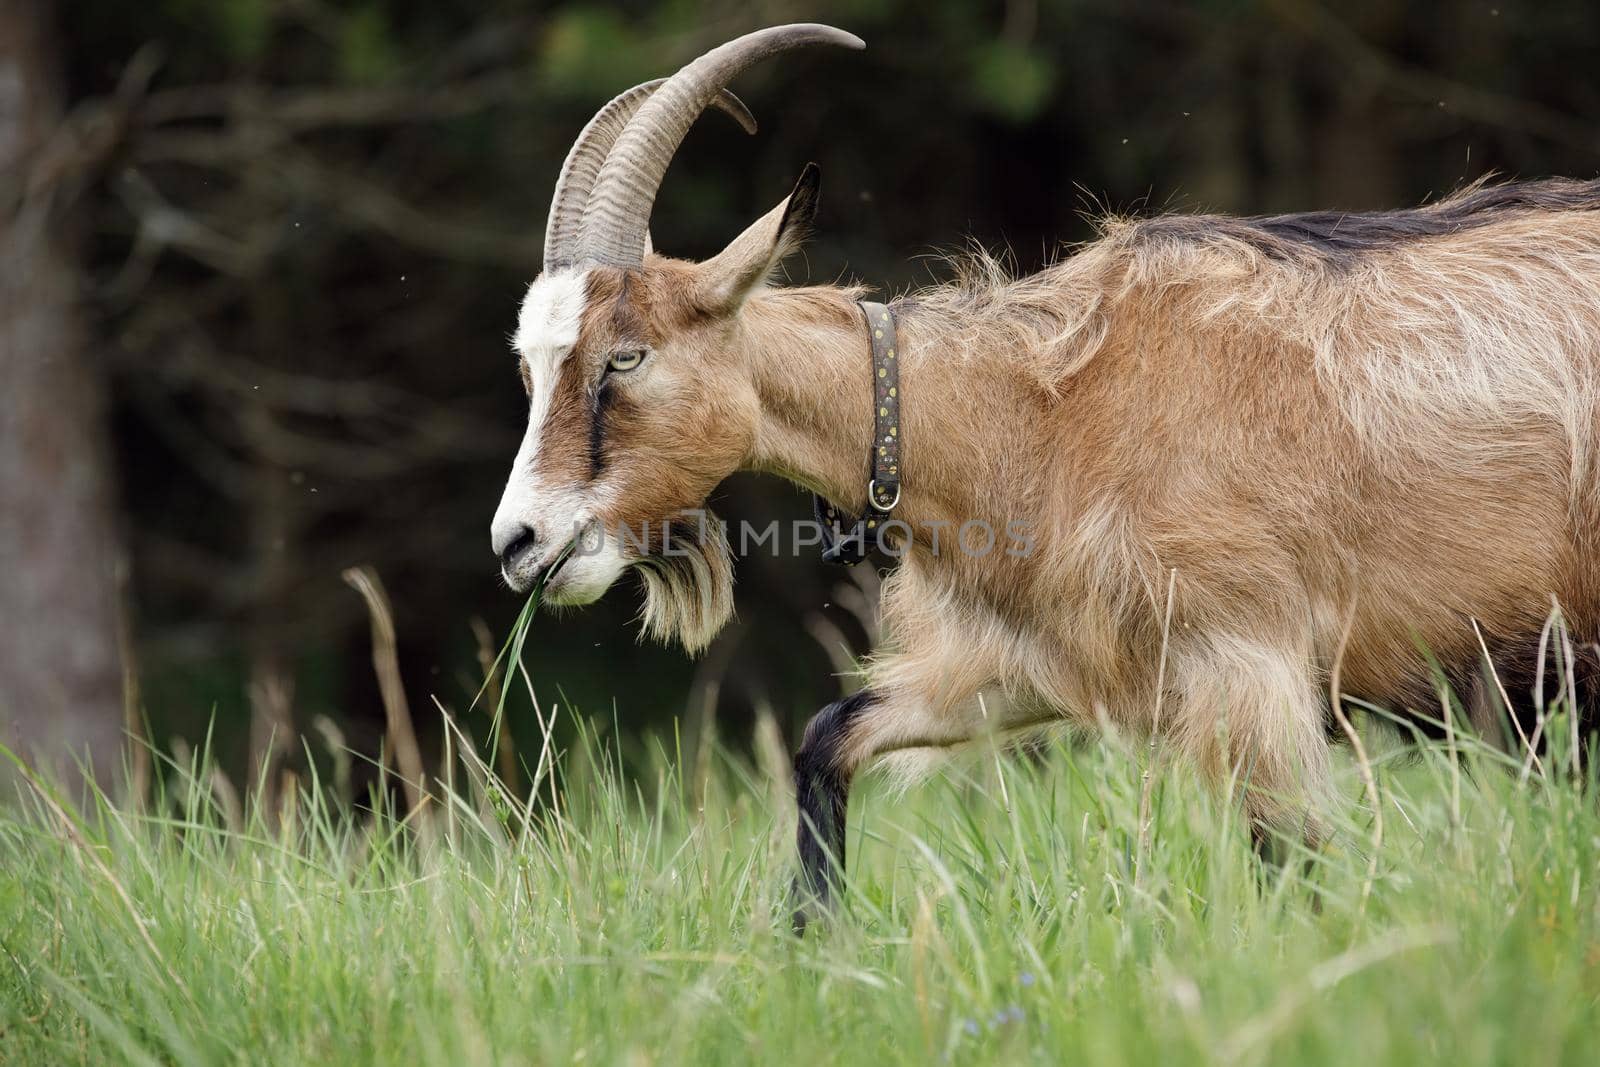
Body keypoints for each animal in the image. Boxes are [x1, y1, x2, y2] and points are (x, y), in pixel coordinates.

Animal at [486, 24, 1600, 927]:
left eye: (625, 356)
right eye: (532, 366)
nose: (519, 543)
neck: (1040, 413)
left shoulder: (1250, 661)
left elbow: (1291, 861)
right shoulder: (1032, 660)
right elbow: (827, 735)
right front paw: (818, 949)